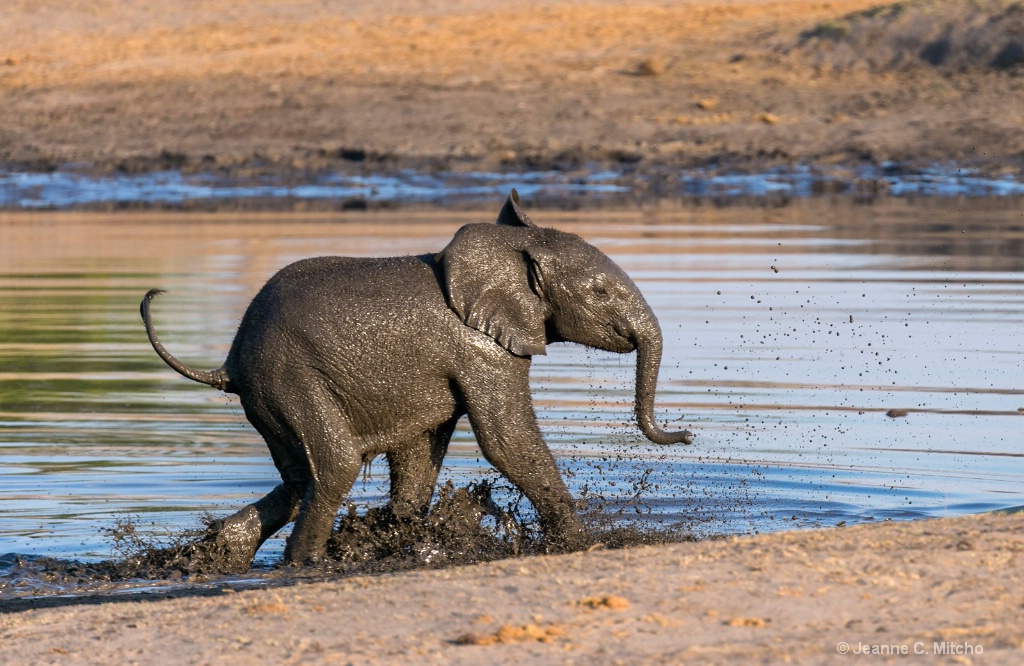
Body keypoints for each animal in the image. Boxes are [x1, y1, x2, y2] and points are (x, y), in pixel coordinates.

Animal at [140, 188, 692, 569]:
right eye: (600, 292)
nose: (685, 434)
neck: (511, 248)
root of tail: (229, 362)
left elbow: (418, 459)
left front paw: (407, 540)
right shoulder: (482, 349)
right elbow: (507, 441)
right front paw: (580, 544)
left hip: (272, 394)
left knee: (299, 480)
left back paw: (219, 549)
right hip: (288, 379)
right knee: (333, 467)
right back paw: (302, 564)